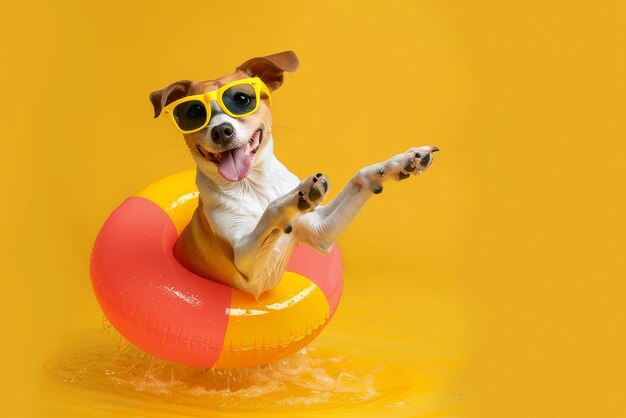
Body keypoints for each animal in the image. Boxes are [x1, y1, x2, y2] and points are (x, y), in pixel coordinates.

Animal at [148, 51, 436, 298]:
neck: (253, 185)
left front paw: (402, 162)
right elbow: (272, 209)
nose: (221, 131)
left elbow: (360, 176)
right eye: (194, 112)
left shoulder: (320, 229)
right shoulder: (245, 265)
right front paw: (297, 196)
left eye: (241, 100)